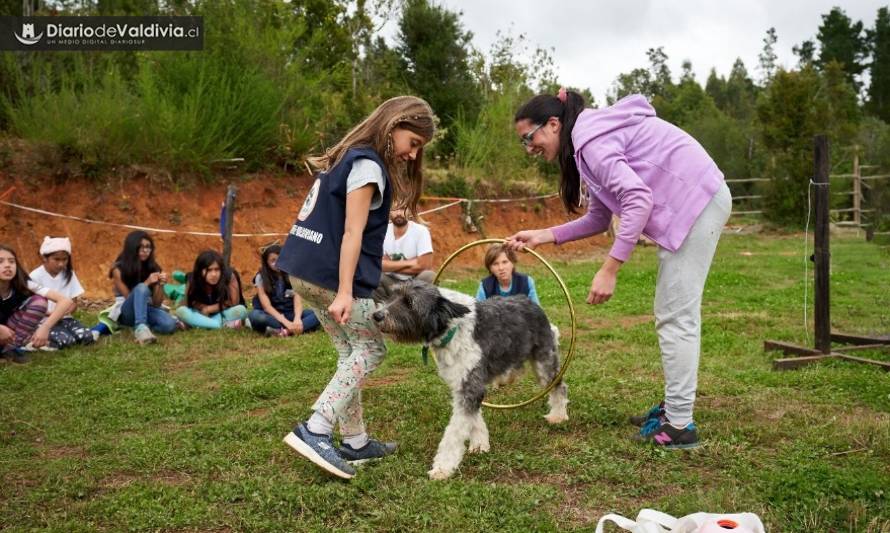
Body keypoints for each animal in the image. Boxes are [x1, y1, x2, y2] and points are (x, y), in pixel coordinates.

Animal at [370, 278, 568, 478]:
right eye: (392, 295)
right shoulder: (463, 384)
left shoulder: (470, 386)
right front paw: (480, 444)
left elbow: (454, 432)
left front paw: (443, 467)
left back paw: (558, 415)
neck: (452, 327)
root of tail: (531, 303)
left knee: (559, 387)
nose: (377, 315)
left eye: (409, 303)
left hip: (544, 360)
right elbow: (474, 419)